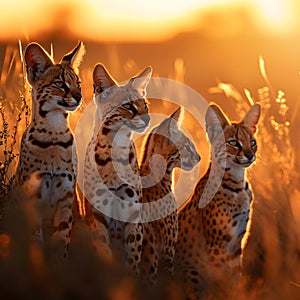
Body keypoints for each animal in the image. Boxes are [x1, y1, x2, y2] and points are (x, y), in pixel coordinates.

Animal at [8, 41, 85, 262]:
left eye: (78, 83)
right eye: (60, 83)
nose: (79, 96)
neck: (54, 131)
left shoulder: (65, 199)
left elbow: (60, 243)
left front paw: (58, 267)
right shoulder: (33, 198)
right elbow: (36, 241)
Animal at [82, 63, 151, 276]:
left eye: (145, 105)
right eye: (128, 106)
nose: (148, 119)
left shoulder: (133, 215)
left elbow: (133, 257)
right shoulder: (97, 214)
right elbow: (103, 250)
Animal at [176, 102, 260, 298]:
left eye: (252, 142)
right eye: (233, 143)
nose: (249, 154)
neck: (238, 184)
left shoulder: (236, 244)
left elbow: (235, 278)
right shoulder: (217, 245)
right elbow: (224, 280)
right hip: (191, 272)